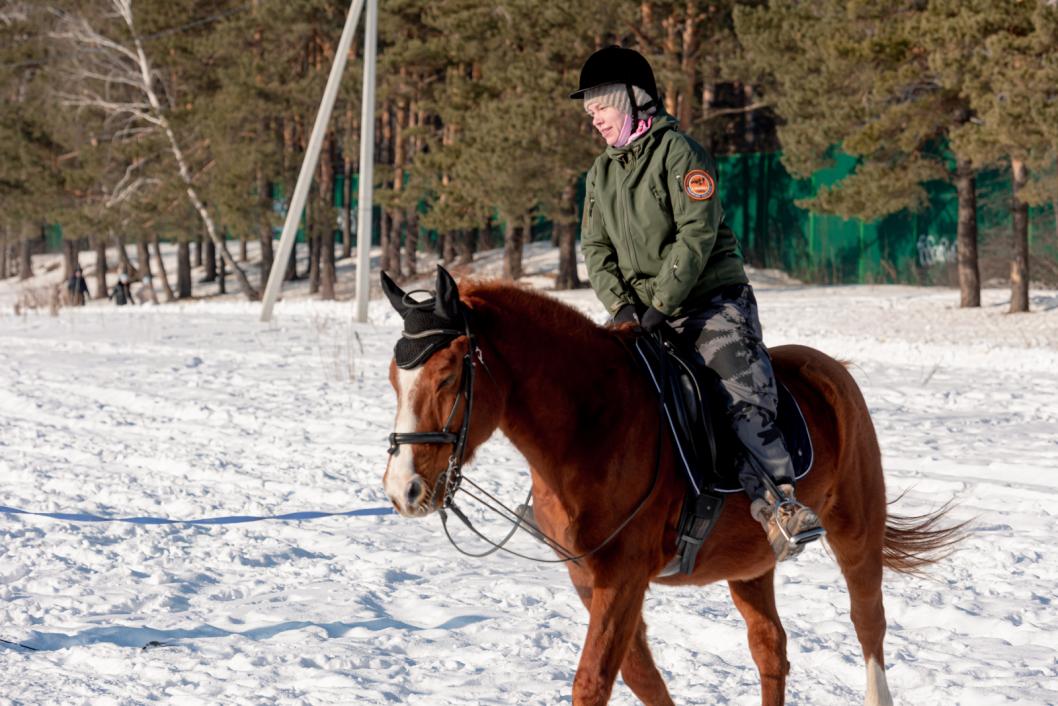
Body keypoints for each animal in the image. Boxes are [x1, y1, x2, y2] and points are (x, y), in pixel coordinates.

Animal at [382, 266, 969, 706]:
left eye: (450, 375)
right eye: (394, 379)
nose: (402, 489)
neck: (593, 423)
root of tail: (833, 369)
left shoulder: (622, 576)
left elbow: (594, 680)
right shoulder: (588, 578)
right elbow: (641, 678)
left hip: (856, 530)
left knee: (869, 625)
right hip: (750, 566)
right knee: (770, 648)